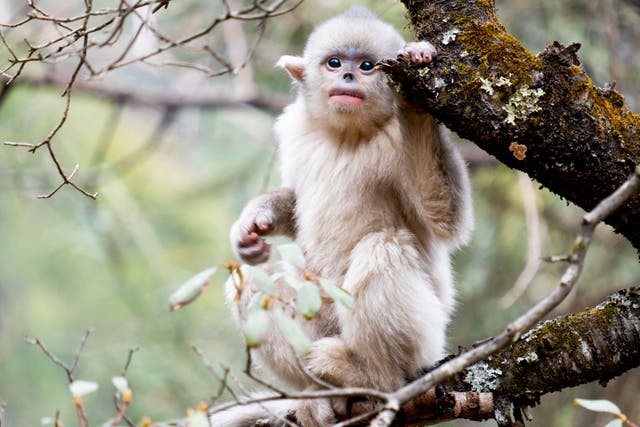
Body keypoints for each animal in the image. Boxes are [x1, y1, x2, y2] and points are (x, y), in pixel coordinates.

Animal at [216, 5, 473, 427]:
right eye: (334, 63)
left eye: (367, 65)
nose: (348, 77)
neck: (349, 135)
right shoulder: (296, 128)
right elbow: (292, 200)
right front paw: (253, 224)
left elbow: (446, 219)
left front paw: (413, 93)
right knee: (251, 282)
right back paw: (319, 394)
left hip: (426, 343)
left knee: (382, 248)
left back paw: (370, 377)